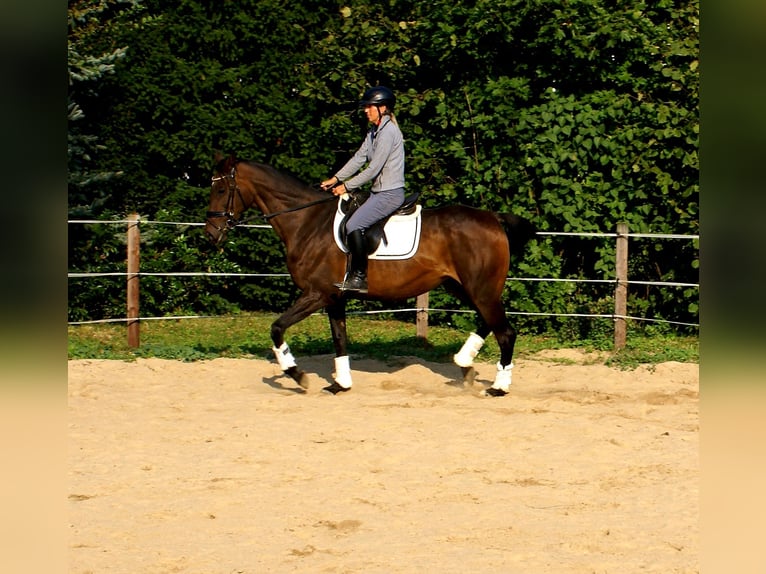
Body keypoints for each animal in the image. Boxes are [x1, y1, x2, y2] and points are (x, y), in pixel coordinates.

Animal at [207, 153, 536, 396]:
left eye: (221, 190)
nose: (211, 234)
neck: (308, 222)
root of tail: (493, 218)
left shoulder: (316, 294)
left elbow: (277, 328)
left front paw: (297, 374)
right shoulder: (334, 298)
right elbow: (339, 339)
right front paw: (340, 383)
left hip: (480, 289)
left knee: (505, 331)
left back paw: (498, 387)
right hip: (465, 287)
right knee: (490, 323)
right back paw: (464, 363)